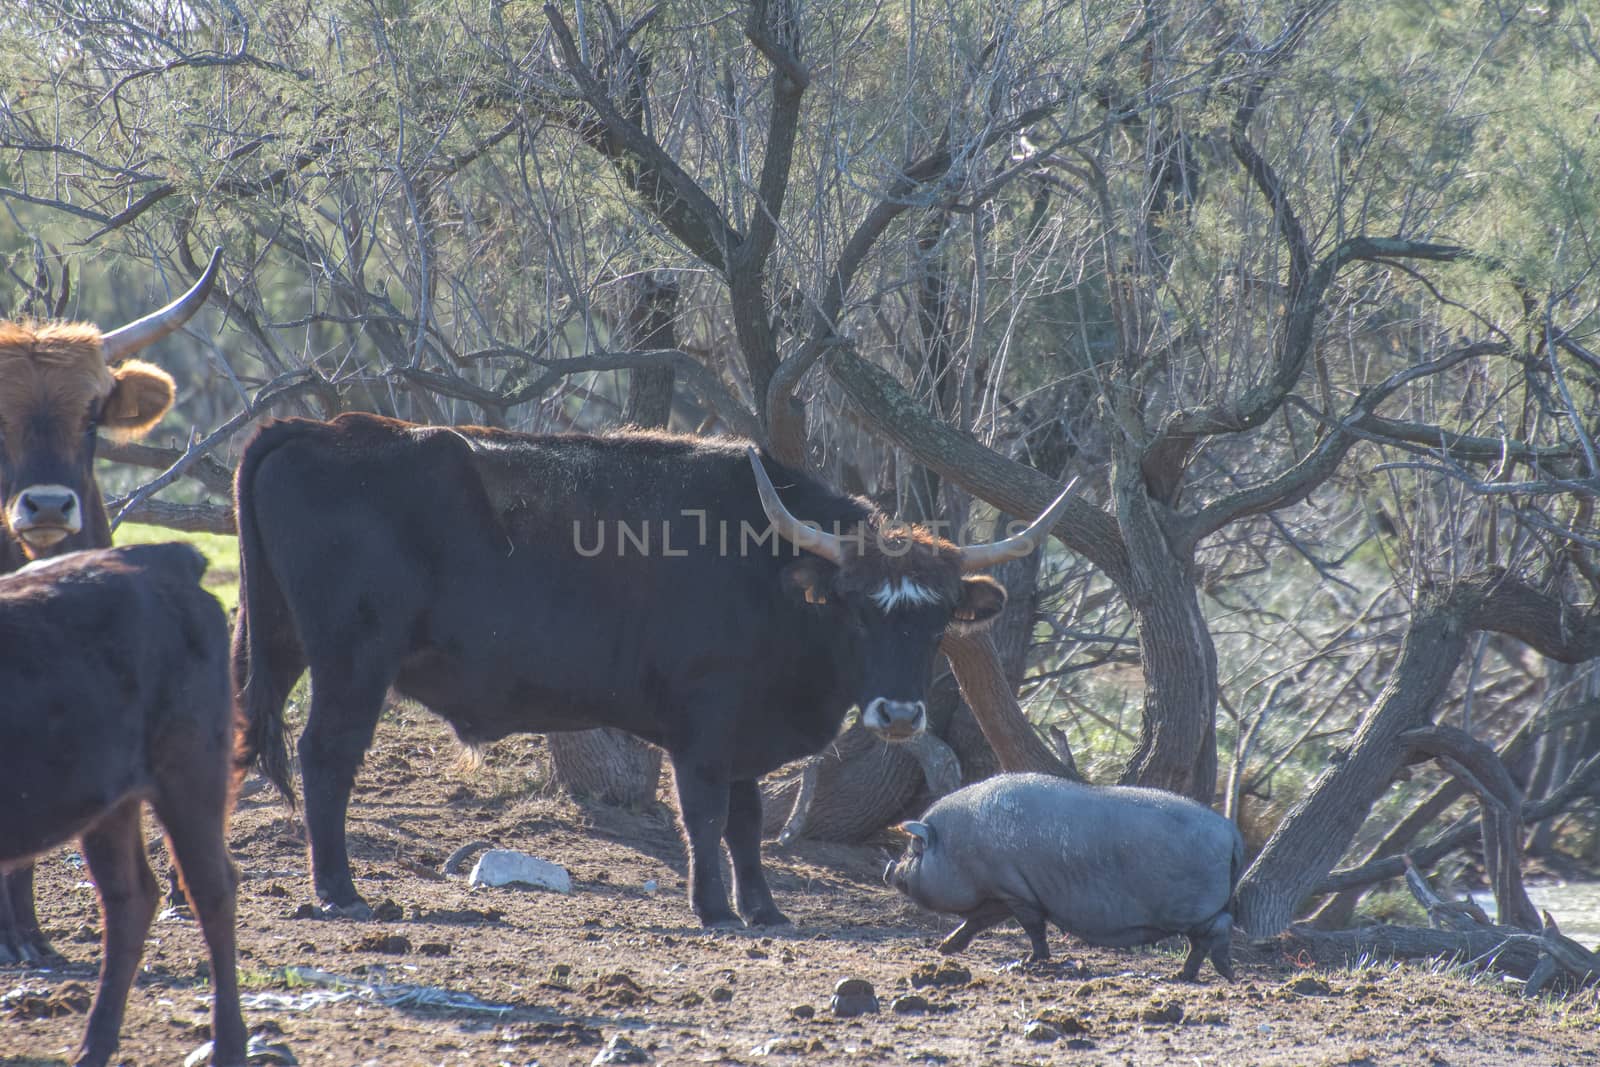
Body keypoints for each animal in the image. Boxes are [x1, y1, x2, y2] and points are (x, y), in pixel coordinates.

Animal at [0, 547, 243, 1062]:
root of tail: (161, 558)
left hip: (189, 778)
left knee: (212, 891)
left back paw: (230, 1046)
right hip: (110, 806)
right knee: (129, 898)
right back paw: (94, 1045)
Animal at [233, 412, 1075, 927]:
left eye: (935, 621)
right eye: (857, 609)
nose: (898, 715)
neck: (765, 570)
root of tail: (321, 427)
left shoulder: (745, 731)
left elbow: (746, 821)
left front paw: (763, 908)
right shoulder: (703, 722)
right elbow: (704, 816)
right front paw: (714, 908)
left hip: (286, 645)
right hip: (351, 663)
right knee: (326, 758)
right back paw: (339, 890)